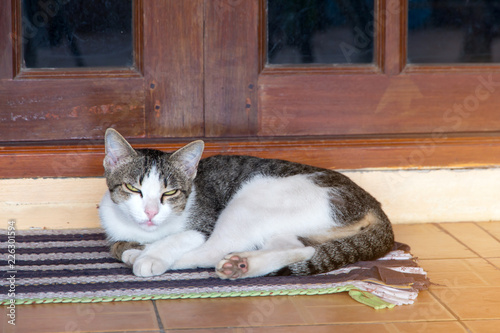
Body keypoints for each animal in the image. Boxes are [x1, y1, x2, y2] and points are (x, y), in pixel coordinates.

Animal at [98, 128, 394, 278]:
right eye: (133, 188)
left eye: (169, 193)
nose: (150, 212)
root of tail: (372, 202)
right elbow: (116, 244)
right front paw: (132, 248)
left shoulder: (204, 222)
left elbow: (181, 237)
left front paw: (151, 254)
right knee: (300, 249)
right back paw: (242, 265)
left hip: (250, 200)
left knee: (215, 250)